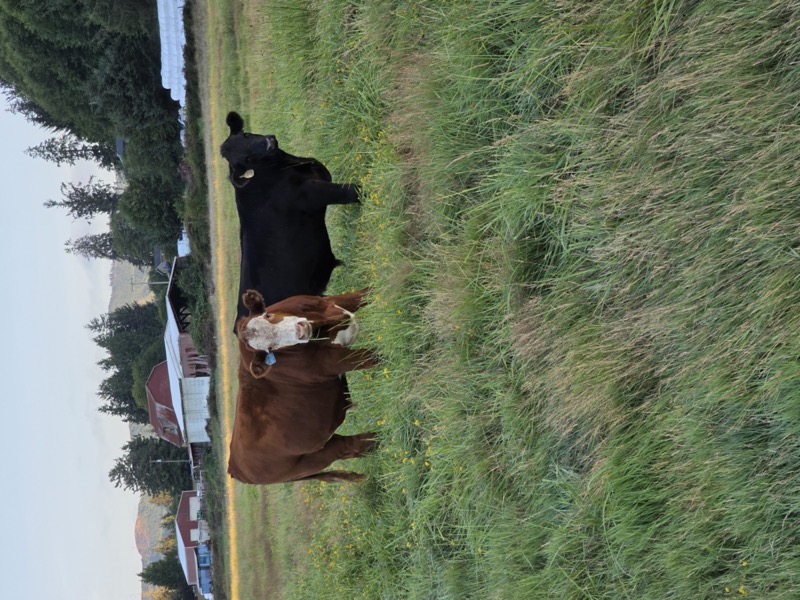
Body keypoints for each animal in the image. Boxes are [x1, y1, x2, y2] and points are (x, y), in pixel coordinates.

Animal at [228, 288, 378, 484]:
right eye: (270, 348)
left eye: (267, 315)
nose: (299, 330)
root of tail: (234, 468)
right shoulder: (333, 362)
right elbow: (373, 356)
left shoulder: (332, 302)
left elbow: (366, 293)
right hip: (315, 457)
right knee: (351, 446)